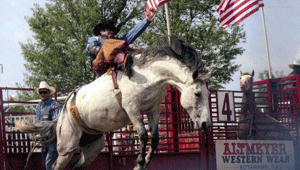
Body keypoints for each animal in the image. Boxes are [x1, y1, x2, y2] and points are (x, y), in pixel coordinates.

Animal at [15, 34, 212, 170]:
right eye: (197, 93)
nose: (206, 123)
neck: (149, 75)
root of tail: (62, 112)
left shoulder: (153, 109)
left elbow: (155, 137)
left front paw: (146, 161)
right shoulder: (132, 109)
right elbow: (143, 135)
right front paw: (139, 163)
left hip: (93, 146)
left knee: (76, 165)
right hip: (66, 145)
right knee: (57, 165)